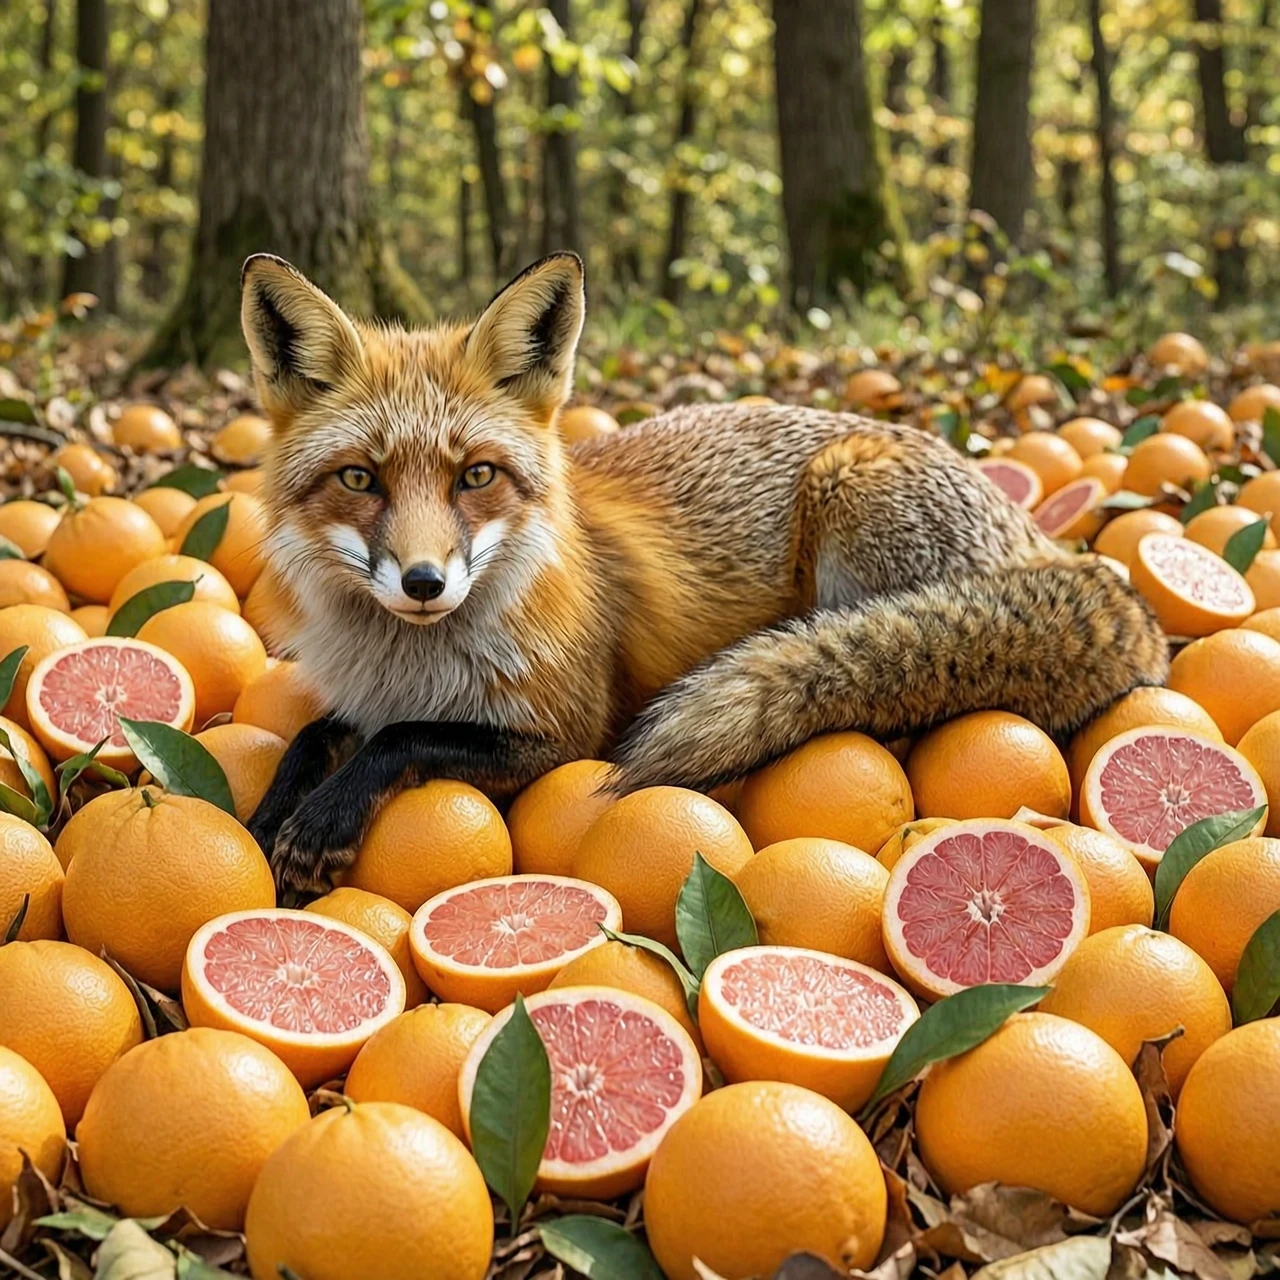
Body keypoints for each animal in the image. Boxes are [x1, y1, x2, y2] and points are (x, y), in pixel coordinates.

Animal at [239, 250, 1169, 892]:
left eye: (476, 476)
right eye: (360, 479)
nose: (425, 583)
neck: (409, 665)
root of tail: (1059, 549)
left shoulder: (568, 733)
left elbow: (403, 738)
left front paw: (323, 820)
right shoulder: (360, 699)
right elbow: (315, 735)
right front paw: (267, 815)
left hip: (851, 497)